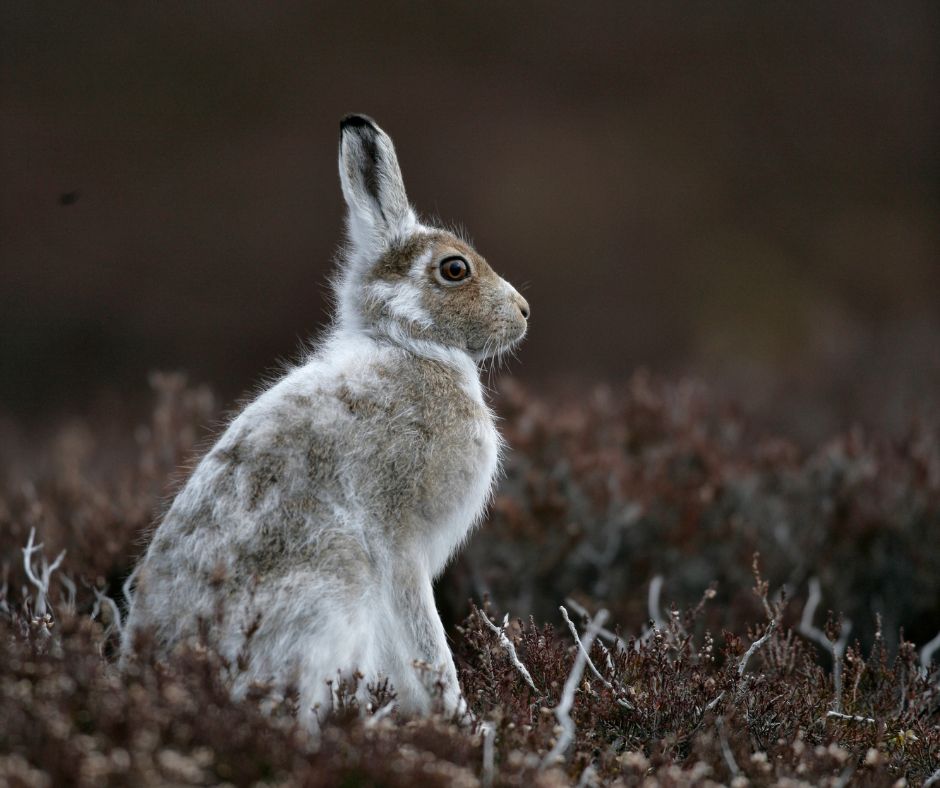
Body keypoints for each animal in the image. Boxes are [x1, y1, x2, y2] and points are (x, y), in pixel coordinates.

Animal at [121, 114, 529, 728]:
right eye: (454, 269)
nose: (524, 311)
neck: (408, 344)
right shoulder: (400, 544)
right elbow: (425, 640)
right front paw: (462, 721)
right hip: (335, 580)